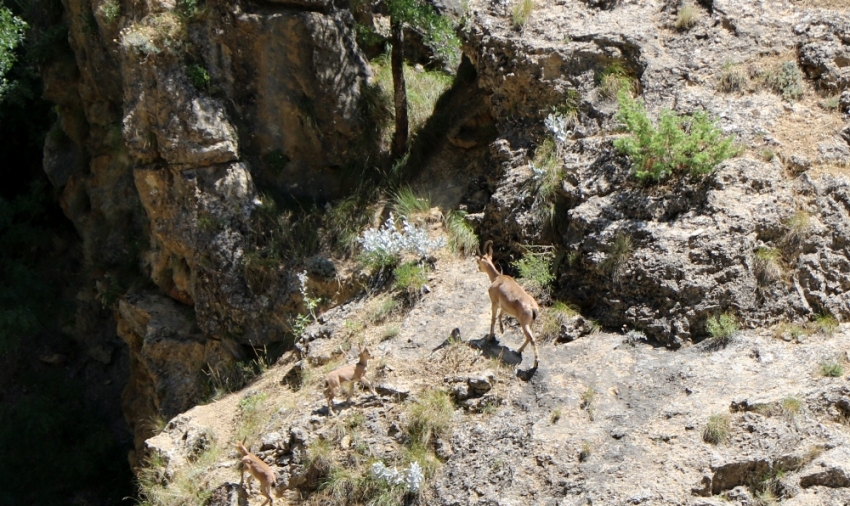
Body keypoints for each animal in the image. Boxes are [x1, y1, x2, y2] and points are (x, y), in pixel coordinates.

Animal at [474, 240, 540, 368]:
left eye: (478, 260)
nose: (479, 268)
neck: (497, 278)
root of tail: (533, 308)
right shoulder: (504, 306)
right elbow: (500, 315)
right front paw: (502, 330)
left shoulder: (494, 302)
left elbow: (493, 318)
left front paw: (490, 337)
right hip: (530, 323)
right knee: (528, 338)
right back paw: (519, 350)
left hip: (524, 323)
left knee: (532, 339)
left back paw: (535, 363)